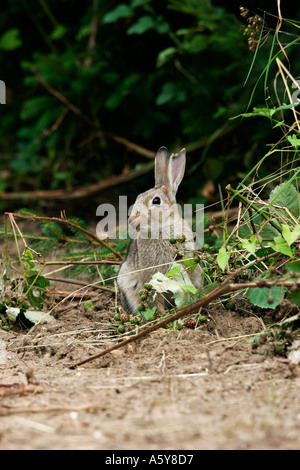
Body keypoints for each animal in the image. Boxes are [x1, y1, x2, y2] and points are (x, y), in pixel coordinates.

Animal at [117, 146, 202, 316]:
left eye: (156, 201)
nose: (131, 221)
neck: (162, 227)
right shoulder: (152, 278)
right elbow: (156, 298)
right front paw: (161, 314)